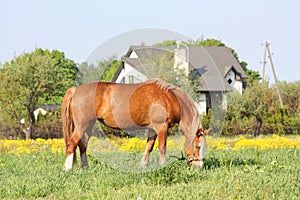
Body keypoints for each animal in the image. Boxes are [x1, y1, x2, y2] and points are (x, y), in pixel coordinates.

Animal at [61, 77, 209, 170]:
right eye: (197, 146)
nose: (199, 167)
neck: (170, 99)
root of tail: (75, 90)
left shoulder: (152, 129)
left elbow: (149, 147)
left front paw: (143, 165)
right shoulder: (162, 127)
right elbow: (162, 148)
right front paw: (162, 165)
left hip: (88, 125)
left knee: (82, 145)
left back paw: (85, 167)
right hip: (82, 125)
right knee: (72, 143)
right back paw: (67, 168)